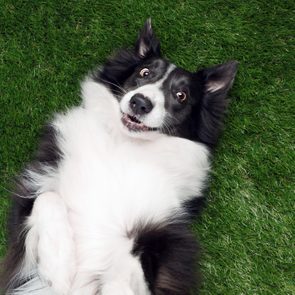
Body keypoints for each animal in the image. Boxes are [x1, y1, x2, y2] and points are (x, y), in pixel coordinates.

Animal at [0, 19, 238, 294]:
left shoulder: (166, 237)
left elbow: (134, 253)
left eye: (181, 95)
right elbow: (47, 198)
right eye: (145, 73)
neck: (123, 144)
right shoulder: (32, 187)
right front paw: (57, 267)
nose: (140, 103)